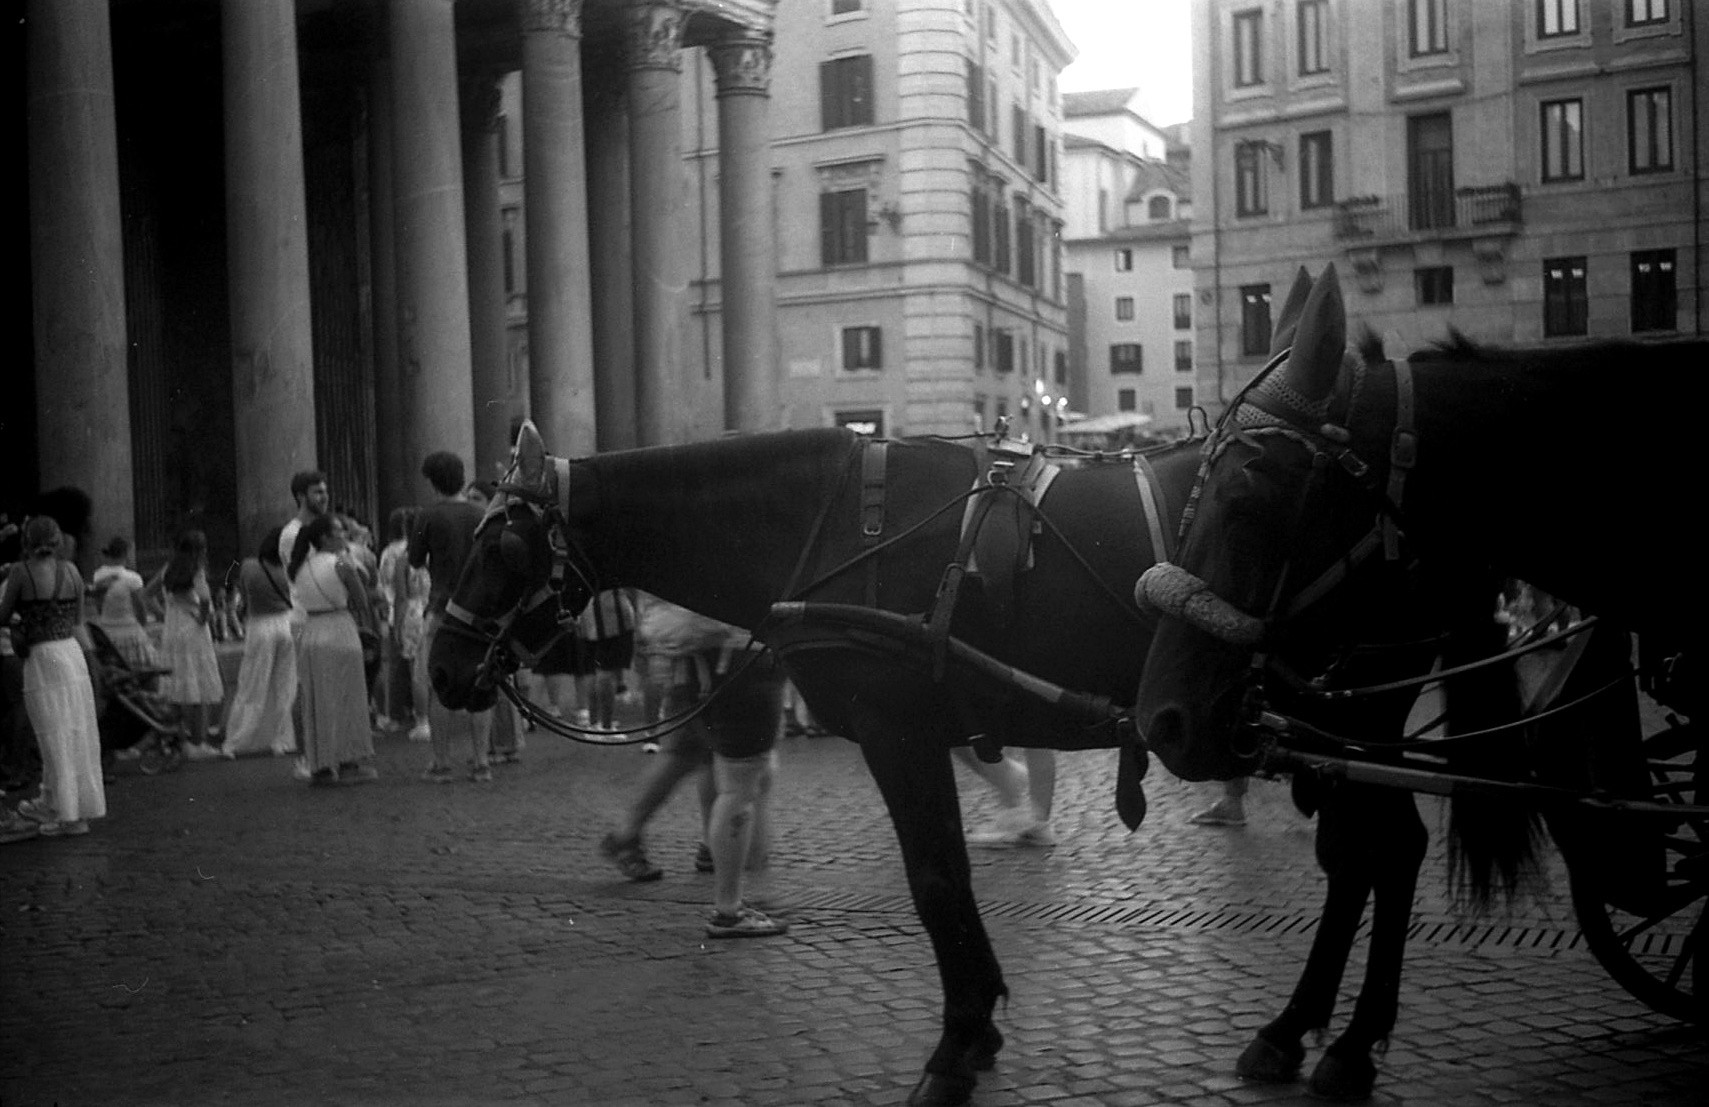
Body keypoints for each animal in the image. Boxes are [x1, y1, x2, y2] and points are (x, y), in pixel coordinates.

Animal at [427, 420, 1203, 1100]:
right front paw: (976, 1027)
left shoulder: (898, 730)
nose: (442, 666)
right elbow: (946, 876)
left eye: (501, 548)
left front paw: (957, 1042)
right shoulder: (916, 733)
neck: (828, 527)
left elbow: (936, 883)